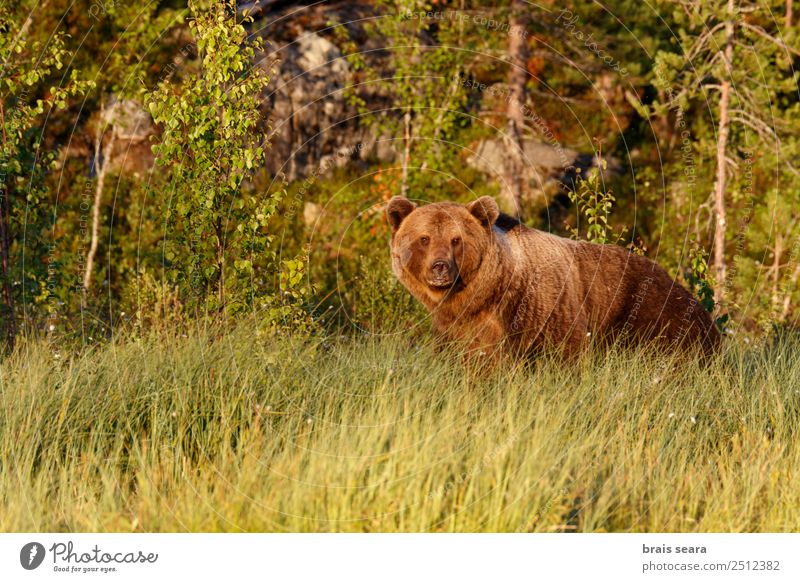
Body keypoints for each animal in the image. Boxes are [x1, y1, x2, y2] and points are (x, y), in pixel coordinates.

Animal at [386, 196, 720, 360]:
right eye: (425, 238)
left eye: (456, 240)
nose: (440, 267)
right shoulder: (455, 327)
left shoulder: (542, 308)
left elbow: (563, 354)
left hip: (654, 317)